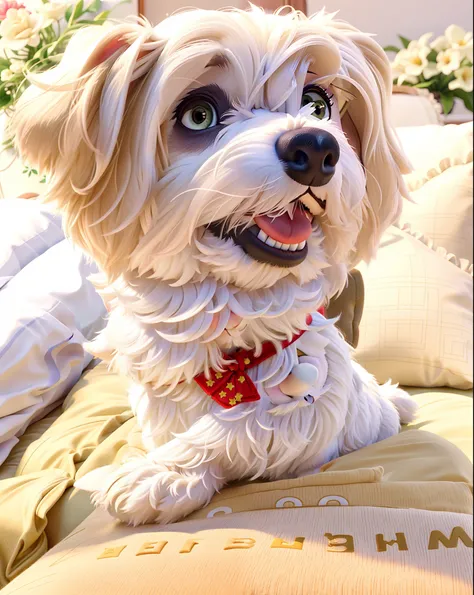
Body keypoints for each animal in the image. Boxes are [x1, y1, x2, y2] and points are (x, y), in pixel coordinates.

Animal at [12, 4, 418, 528]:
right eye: (198, 114)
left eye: (318, 104)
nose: (315, 147)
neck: (227, 318)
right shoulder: (156, 389)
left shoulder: (316, 394)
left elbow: (249, 423)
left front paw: (154, 476)